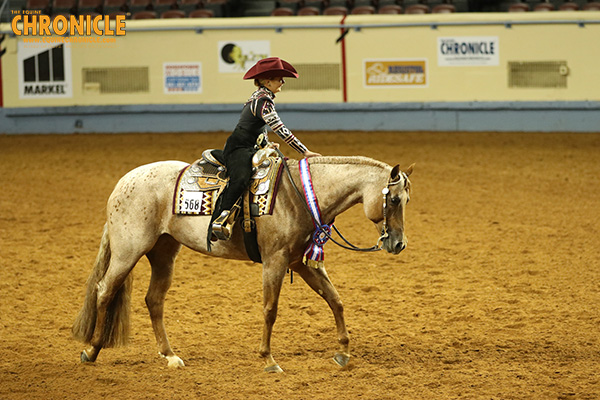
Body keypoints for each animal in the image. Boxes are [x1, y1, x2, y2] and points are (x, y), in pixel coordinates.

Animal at [71, 155, 412, 372]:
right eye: (394, 199)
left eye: (406, 200)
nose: (398, 244)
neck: (299, 195)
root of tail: (123, 182)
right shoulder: (275, 261)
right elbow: (270, 310)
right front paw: (268, 360)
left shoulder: (301, 263)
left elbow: (335, 300)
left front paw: (343, 352)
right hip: (128, 251)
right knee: (104, 291)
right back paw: (91, 350)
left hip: (163, 252)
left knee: (154, 300)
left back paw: (170, 356)